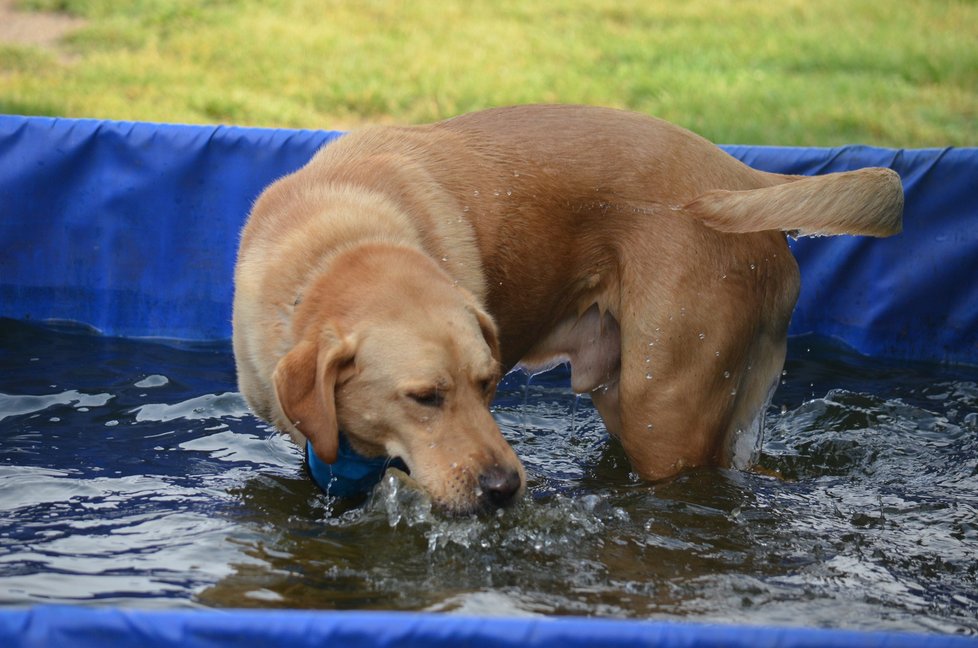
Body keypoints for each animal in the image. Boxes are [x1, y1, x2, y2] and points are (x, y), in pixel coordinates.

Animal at [233, 104, 904, 512]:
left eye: (488, 385)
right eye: (424, 398)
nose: (506, 489)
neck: (336, 244)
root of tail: (743, 175)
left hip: (664, 415)